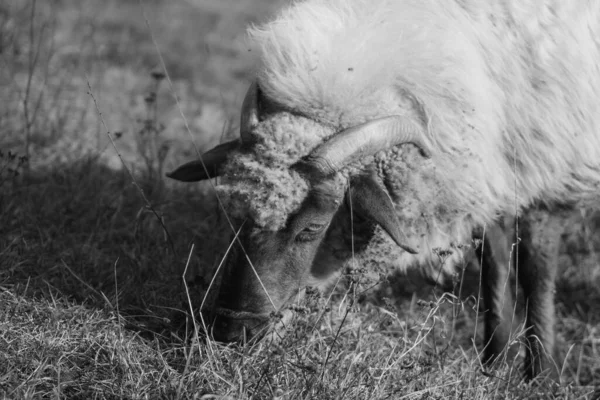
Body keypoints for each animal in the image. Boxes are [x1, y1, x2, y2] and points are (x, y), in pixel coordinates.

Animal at [166, 0, 600, 382]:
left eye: (312, 228)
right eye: (237, 216)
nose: (230, 332)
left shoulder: (550, 172)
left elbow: (536, 272)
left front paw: (540, 375)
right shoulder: (491, 174)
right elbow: (494, 265)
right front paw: (493, 366)